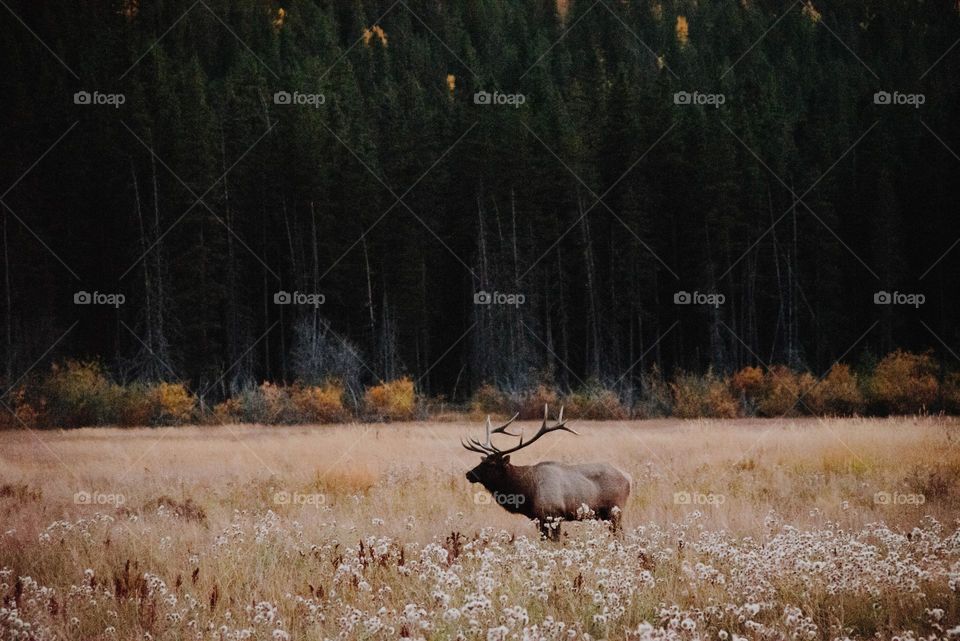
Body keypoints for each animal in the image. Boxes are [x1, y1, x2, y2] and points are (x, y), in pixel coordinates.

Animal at [462, 404, 631, 540]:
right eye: (482, 461)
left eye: (491, 464)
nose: (468, 474)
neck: (527, 491)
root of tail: (628, 478)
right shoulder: (538, 518)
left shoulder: (554, 514)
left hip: (615, 510)